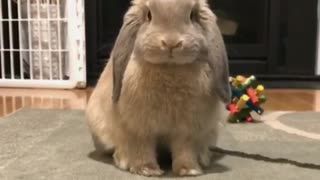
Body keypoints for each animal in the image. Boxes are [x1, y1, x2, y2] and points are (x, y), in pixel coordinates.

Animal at [85, 0, 230, 177]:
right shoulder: (139, 128)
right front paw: (147, 170)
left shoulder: (188, 129)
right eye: (149, 15)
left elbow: (185, 149)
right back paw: (122, 158)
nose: (171, 43)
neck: (169, 67)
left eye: (192, 15)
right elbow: (142, 148)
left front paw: (189, 170)